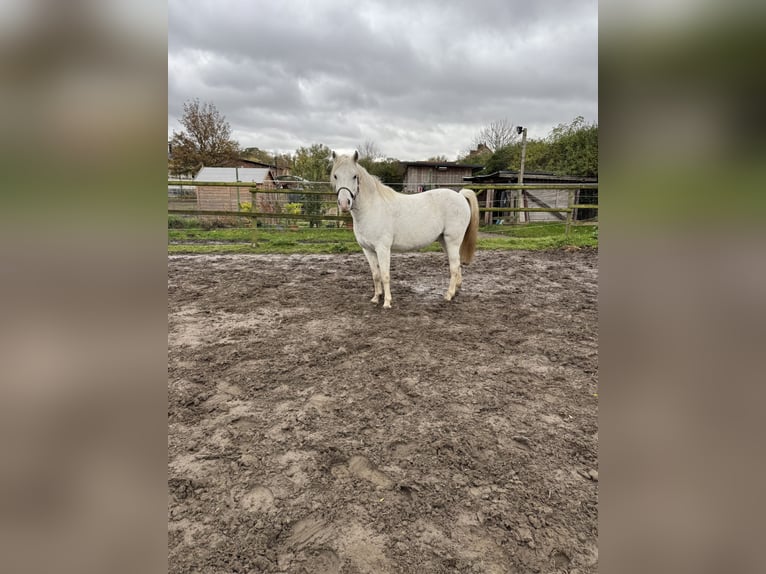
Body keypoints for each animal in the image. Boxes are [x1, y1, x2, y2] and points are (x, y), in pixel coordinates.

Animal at [331, 151, 480, 308]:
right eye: (336, 176)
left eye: (354, 176)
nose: (344, 204)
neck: (372, 208)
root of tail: (460, 196)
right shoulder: (368, 250)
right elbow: (376, 275)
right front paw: (376, 298)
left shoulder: (383, 249)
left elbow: (385, 275)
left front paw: (387, 302)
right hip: (444, 241)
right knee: (457, 265)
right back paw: (456, 290)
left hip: (452, 241)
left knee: (454, 266)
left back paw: (449, 295)